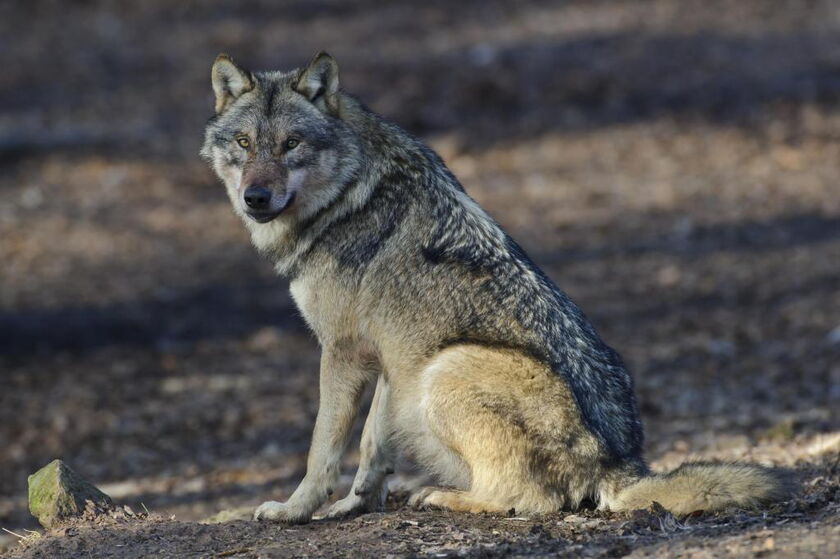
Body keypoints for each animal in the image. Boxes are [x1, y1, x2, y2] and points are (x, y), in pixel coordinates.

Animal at [200, 52, 792, 523]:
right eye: (245, 143)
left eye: (291, 144)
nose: (255, 197)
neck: (347, 197)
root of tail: (620, 465)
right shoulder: (390, 358)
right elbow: (372, 448)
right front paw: (355, 505)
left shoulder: (344, 351)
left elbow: (322, 448)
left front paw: (293, 511)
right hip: (423, 377)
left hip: (446, 369)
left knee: (532, 501)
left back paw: (445, 496)